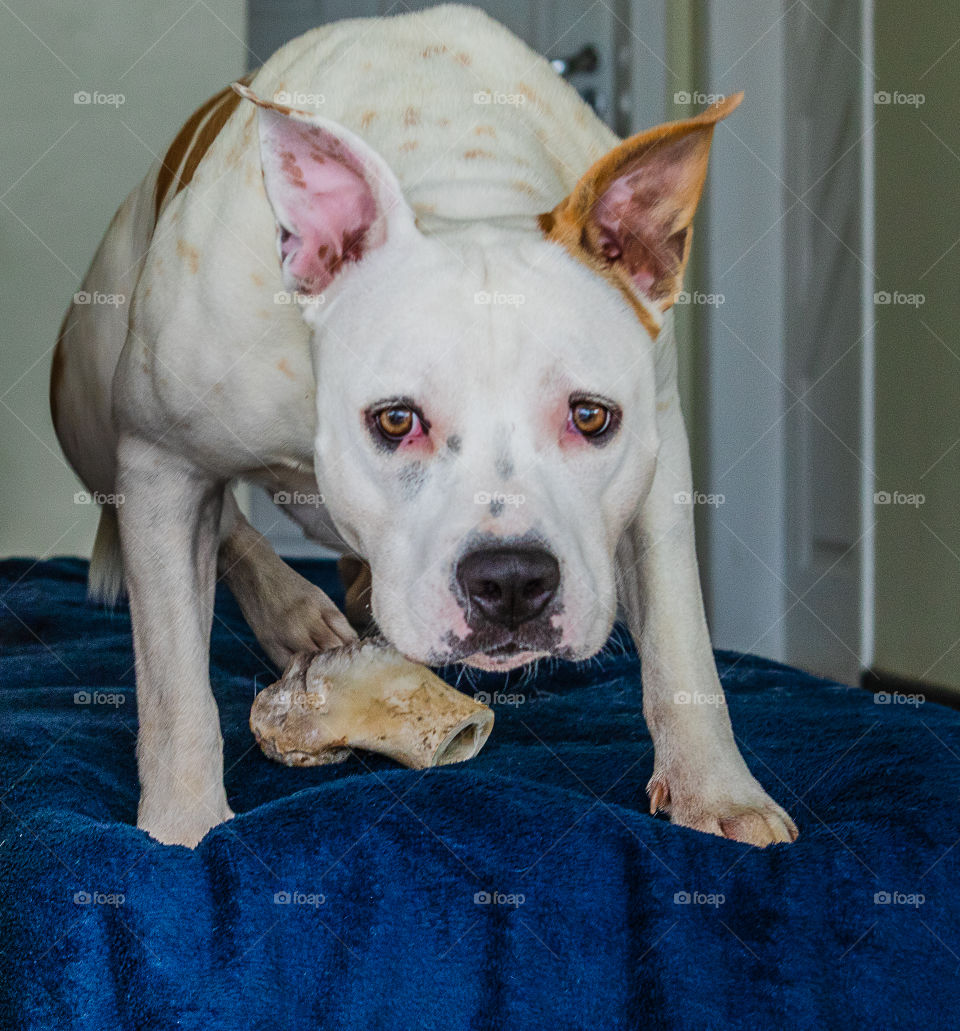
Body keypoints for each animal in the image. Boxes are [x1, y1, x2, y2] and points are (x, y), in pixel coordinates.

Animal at [54, 6, 804, 845]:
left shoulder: (659, 448)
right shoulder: (160, 460)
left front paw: (717, 791)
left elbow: (681, 640)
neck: (459, 184)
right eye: (395, 419)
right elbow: (174, 681)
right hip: (93, 421)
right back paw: (295, 612)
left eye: (590, 416)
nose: (511, 582)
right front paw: (183, 826)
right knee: (227, 537)